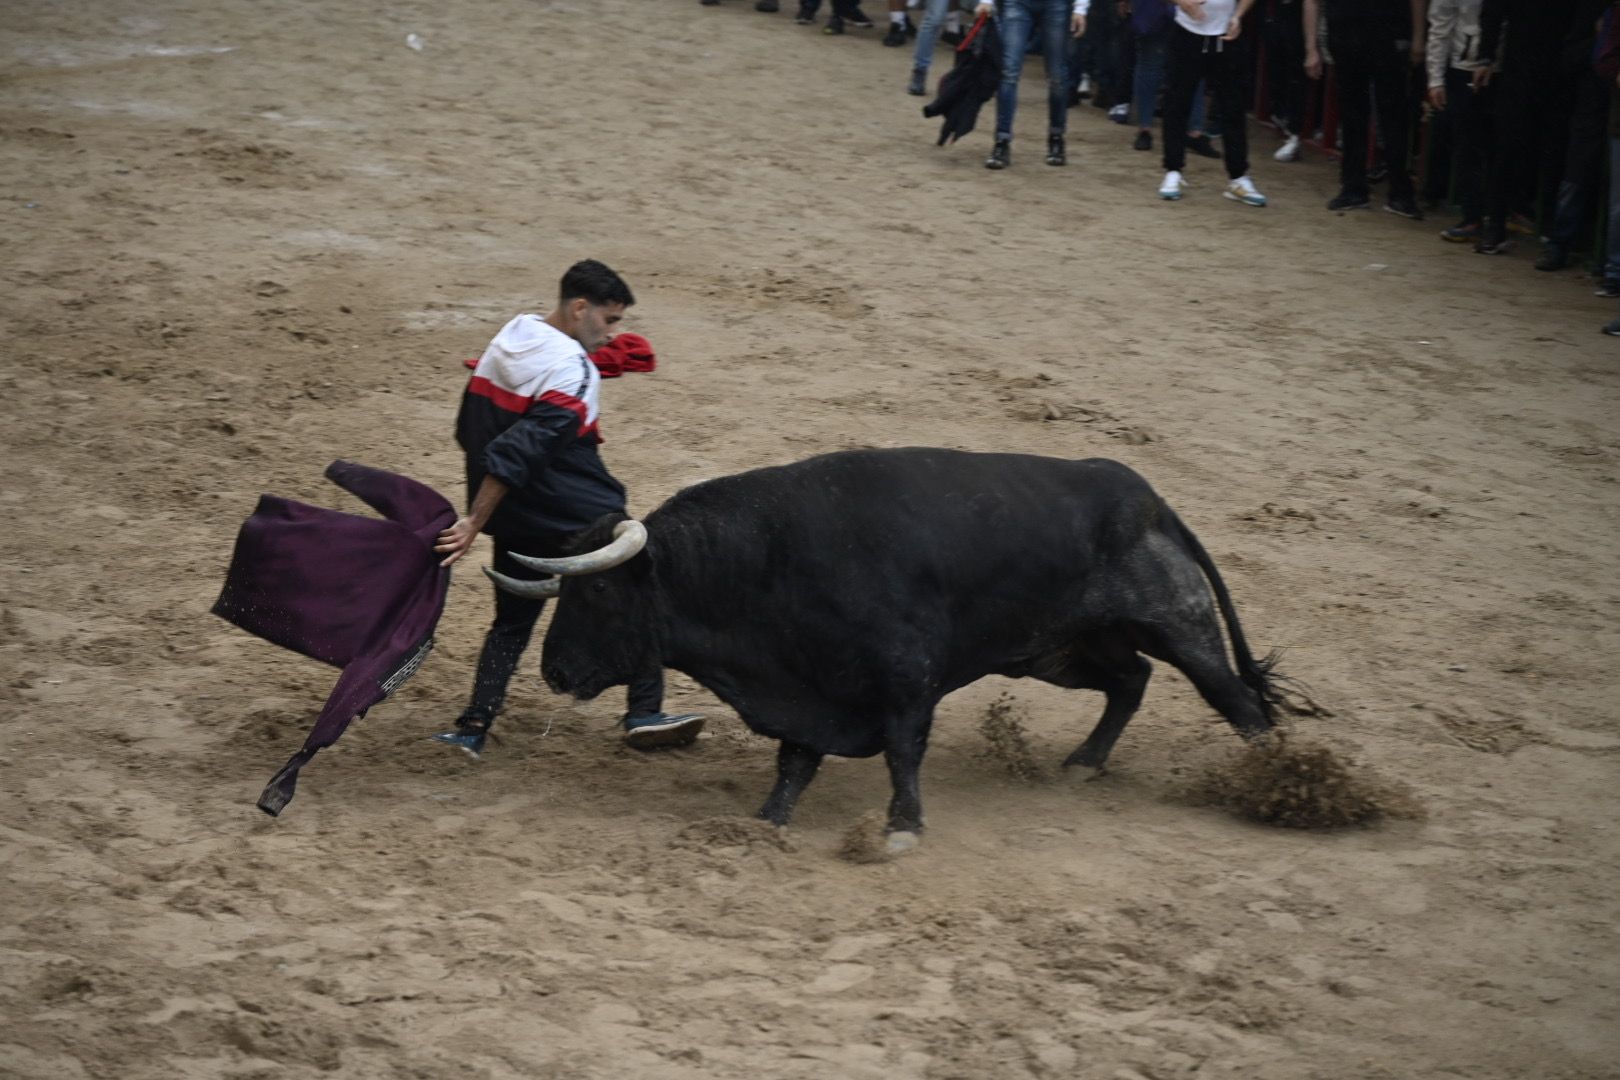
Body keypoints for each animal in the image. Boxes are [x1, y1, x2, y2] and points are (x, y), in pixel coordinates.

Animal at [505, 446, 1276, 841]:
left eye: (597, 593)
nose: (554, 671)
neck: (766, 563)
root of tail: (1148, 497)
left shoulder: (906, 681)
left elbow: (903, 751)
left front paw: (901, 828)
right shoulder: (808, 687)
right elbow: (795, 761)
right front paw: (767, 822)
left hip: (1176, 622)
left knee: (1237, 702)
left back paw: (1271, 777)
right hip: (1055, 650)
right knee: (1130, 680)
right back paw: (1084, 763)